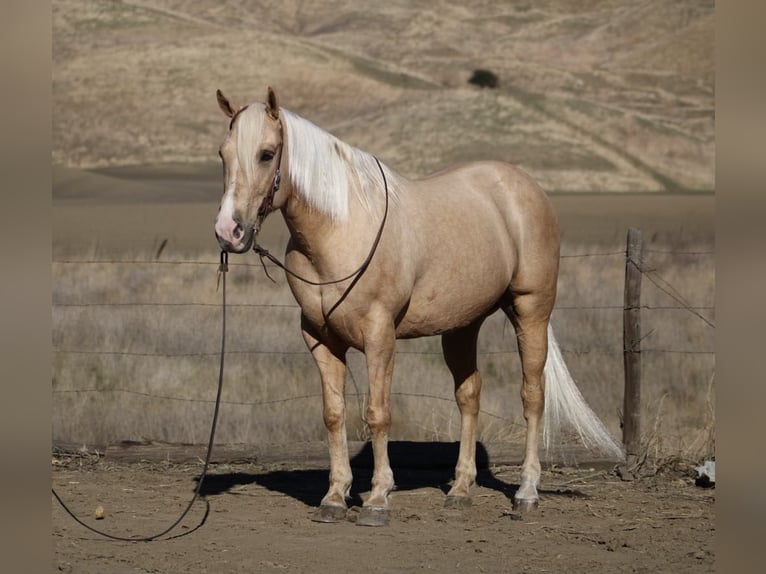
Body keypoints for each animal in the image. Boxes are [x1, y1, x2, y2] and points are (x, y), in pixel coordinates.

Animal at [214, 87, 623, 526]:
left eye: (267, 153)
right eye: (223, 153)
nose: (228, 231)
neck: (341, 230)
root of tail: (524, 187)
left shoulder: (380, 336)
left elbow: (377, 413)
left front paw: (378, 498)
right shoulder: (320, 339)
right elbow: (334, 414)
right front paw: (335, 497)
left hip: (531, 311)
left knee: (533, 395)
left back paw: (526, 492)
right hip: (463, 326)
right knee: (469, 395)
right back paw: (460, 489)